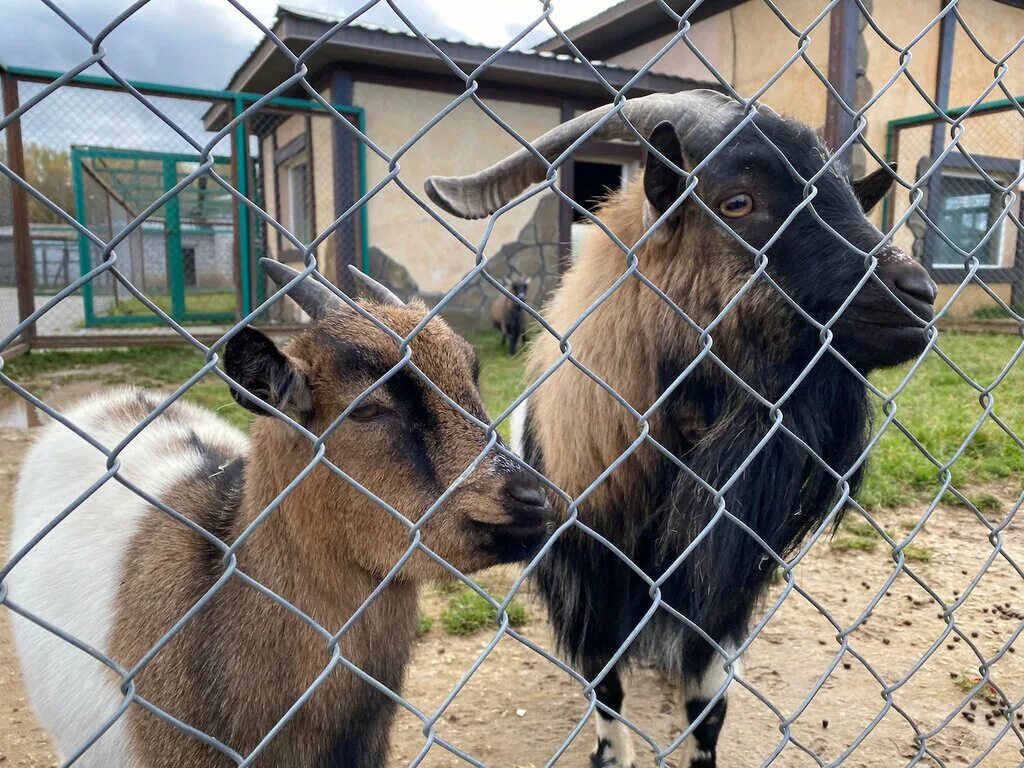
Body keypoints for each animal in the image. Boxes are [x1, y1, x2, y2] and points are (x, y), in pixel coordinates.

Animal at [425, 91, 937, 768]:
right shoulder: (589, 599)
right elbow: (607, 694)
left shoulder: (717, 607)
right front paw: (610, 754)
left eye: (853, 201)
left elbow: (708, 712)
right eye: (737, 202)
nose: (920, 293)